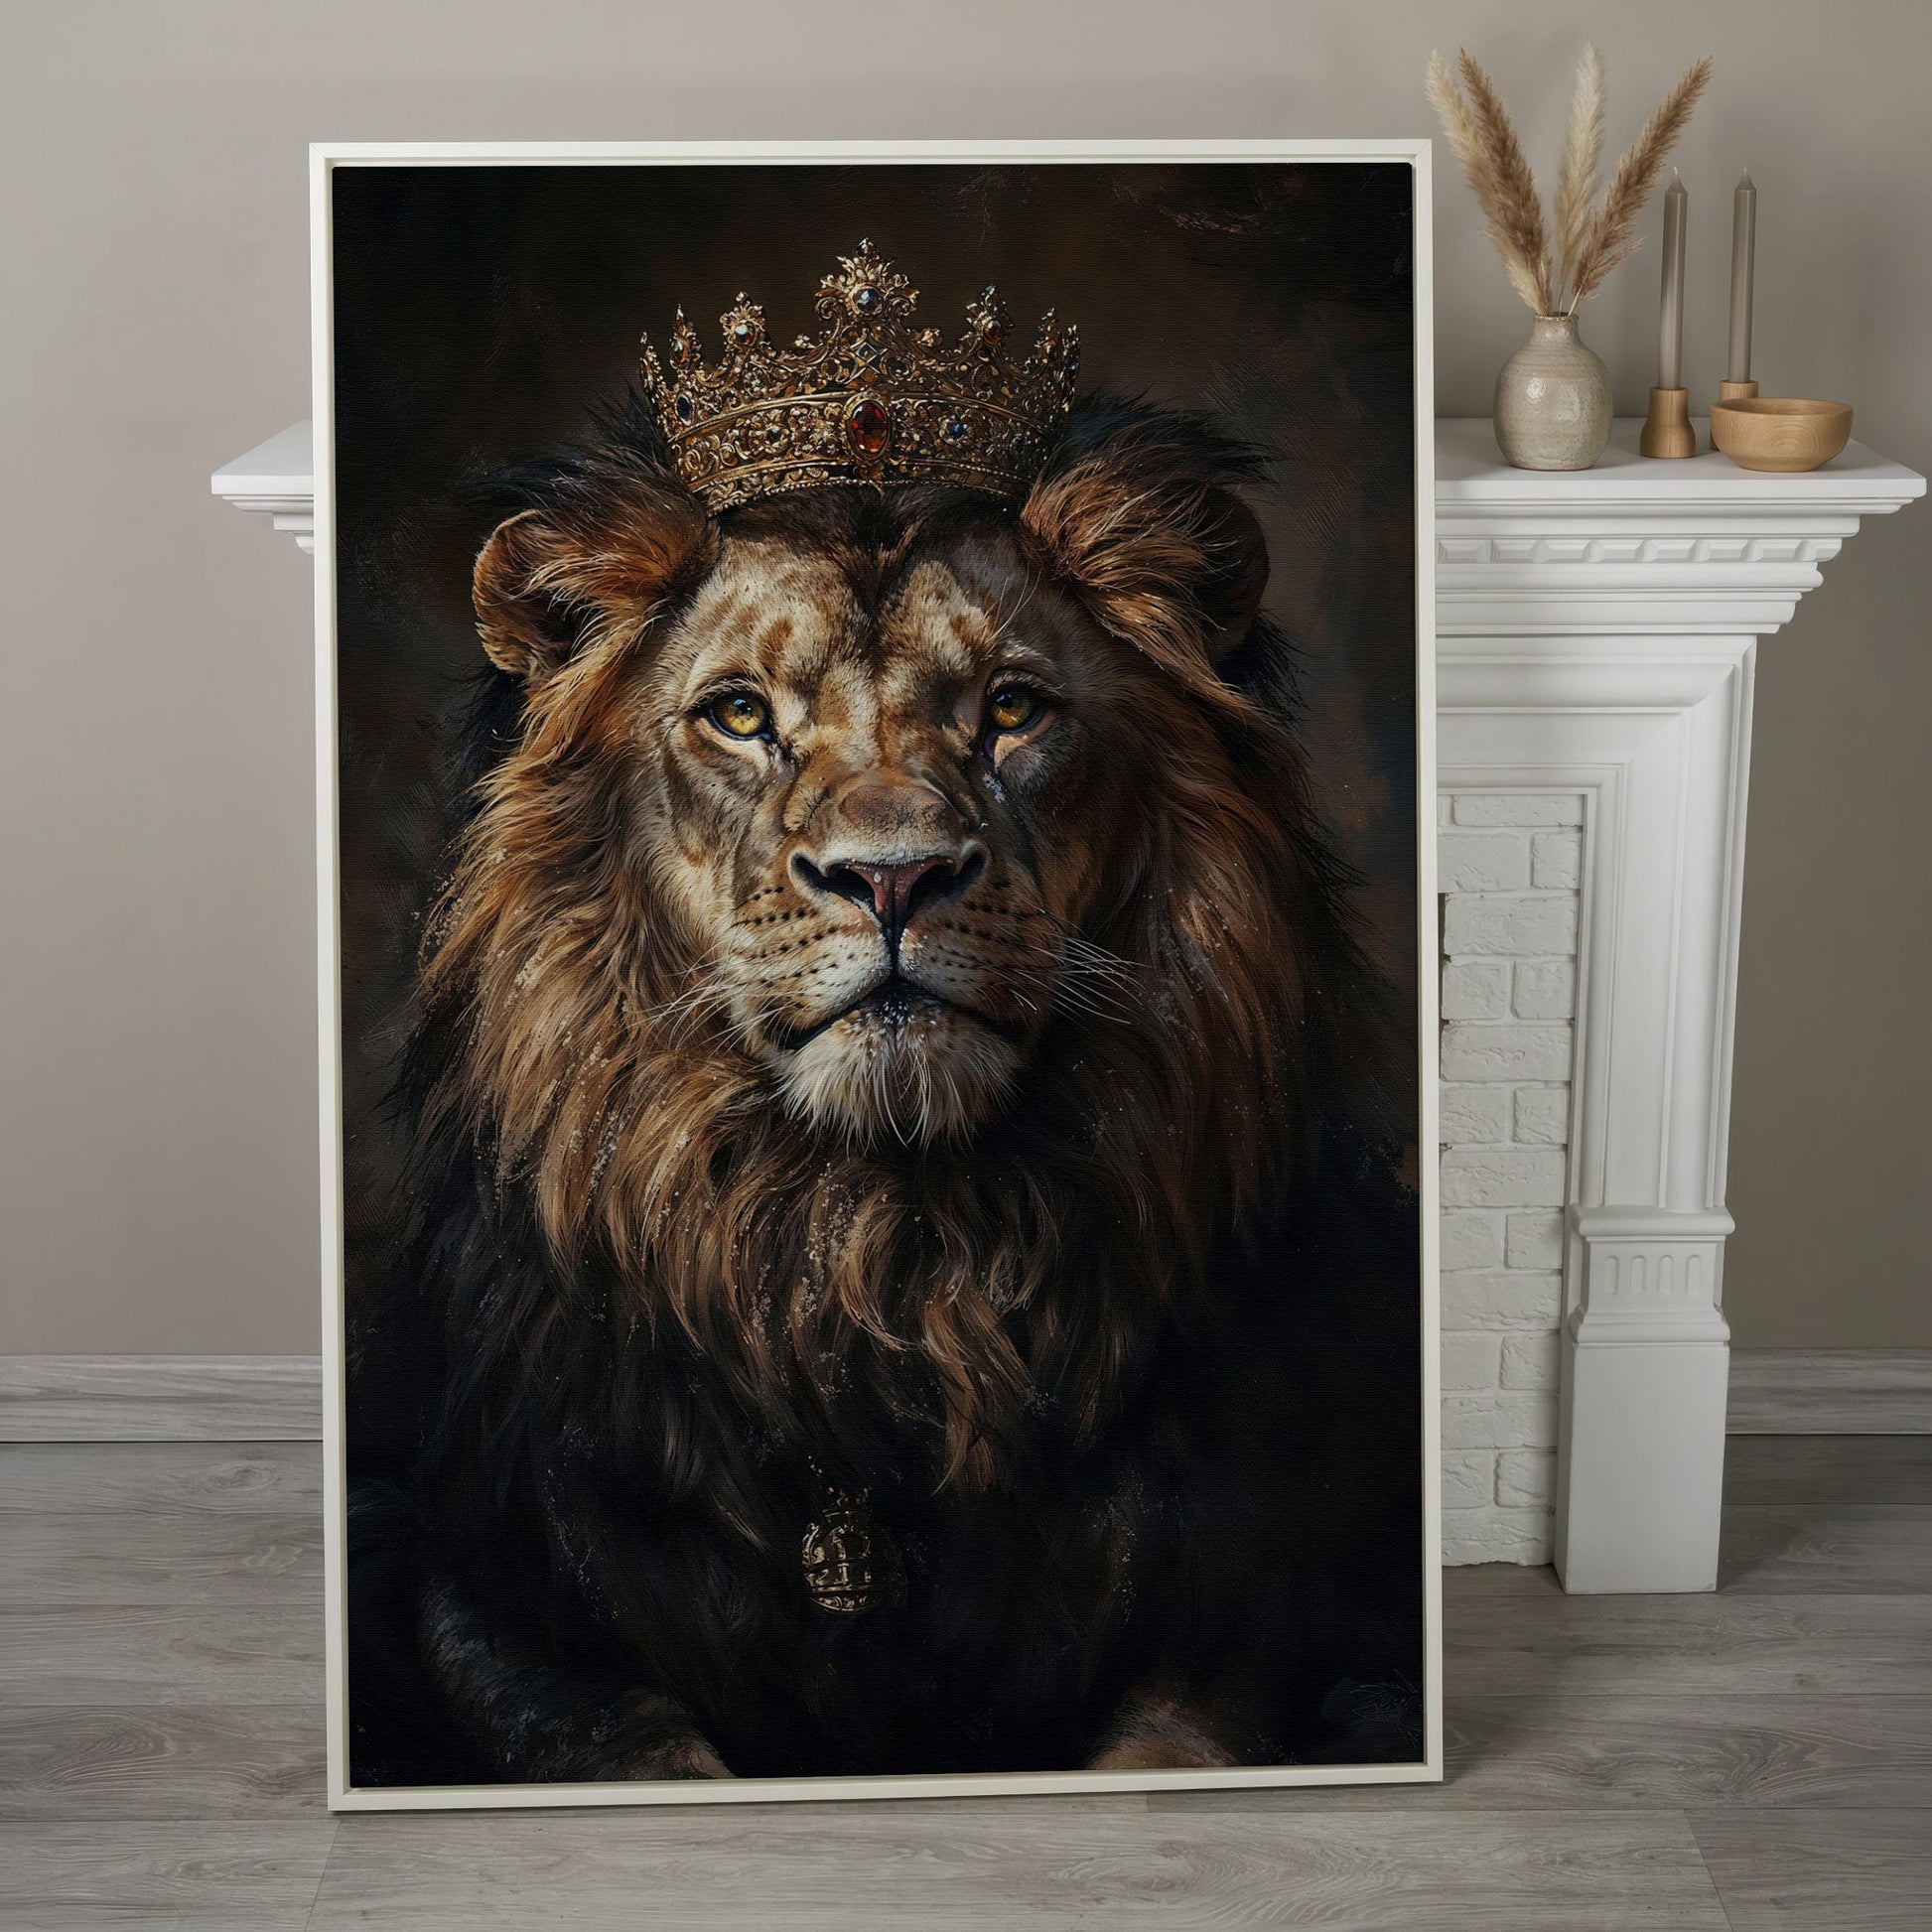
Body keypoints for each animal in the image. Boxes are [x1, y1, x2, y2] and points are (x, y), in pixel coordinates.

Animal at [345, 386, 1422, 1786]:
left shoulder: (1257, 1611)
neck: (880, 1258)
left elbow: (1170, 1747)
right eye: (739, 715)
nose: (892, 876)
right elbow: (633, 1748)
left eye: (1011, 710)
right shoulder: (482, 1595)